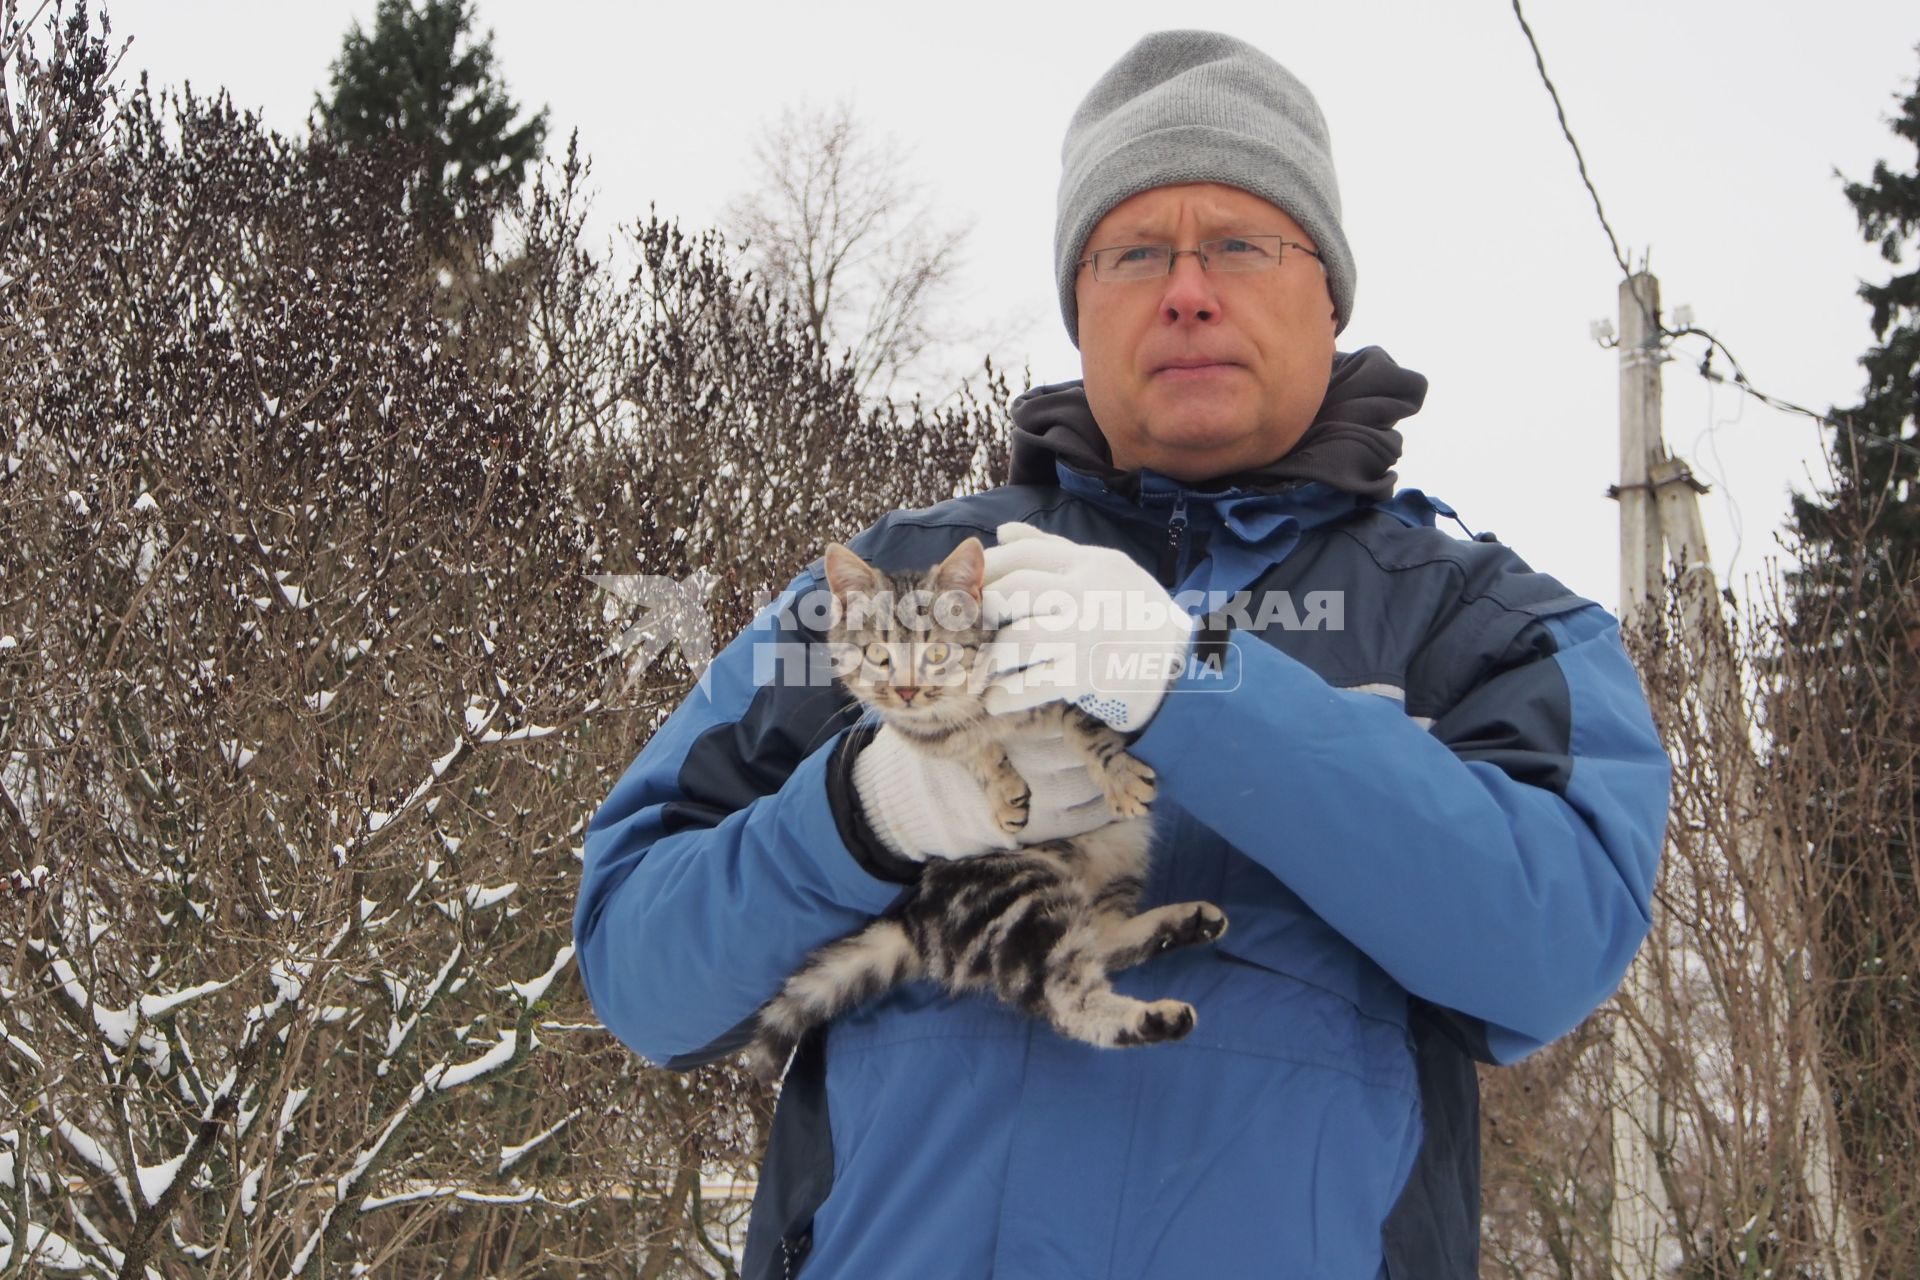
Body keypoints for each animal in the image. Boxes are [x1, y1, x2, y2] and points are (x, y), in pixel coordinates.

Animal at [741, 537, 1221, 1090]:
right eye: (878, 655)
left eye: (937, 652)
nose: (906, 691)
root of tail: (918, 923)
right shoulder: (930, 737)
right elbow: (964, 752)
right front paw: (999, 787)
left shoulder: (1056, 682)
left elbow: (1085, 724)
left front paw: (1116, 776)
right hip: (1019, 898)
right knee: (1069, 996)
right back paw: (1156, 1012)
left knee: (1099, 943)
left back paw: (1185, 925)